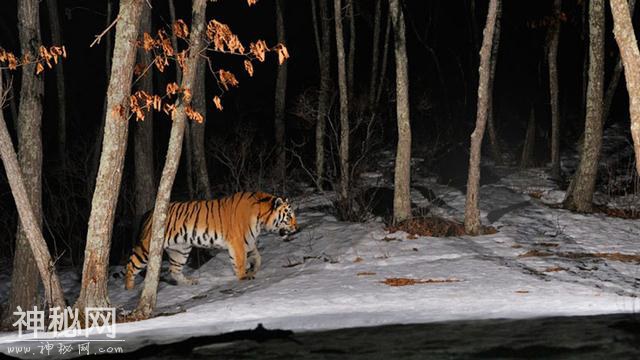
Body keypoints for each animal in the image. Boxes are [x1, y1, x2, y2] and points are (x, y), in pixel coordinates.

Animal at [125, 191, 300, 290]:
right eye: (289, 217)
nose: (297, 228)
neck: (260, 218)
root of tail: (150, 212)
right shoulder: (237, 242)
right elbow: (240, 261)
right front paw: (244, 276)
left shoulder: (248, 242)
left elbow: (257, 257)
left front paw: (254, 269)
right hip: (147, 247)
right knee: (131, 264)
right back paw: (129, 289)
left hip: (180, 249)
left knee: (174, 270)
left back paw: (189, 283)